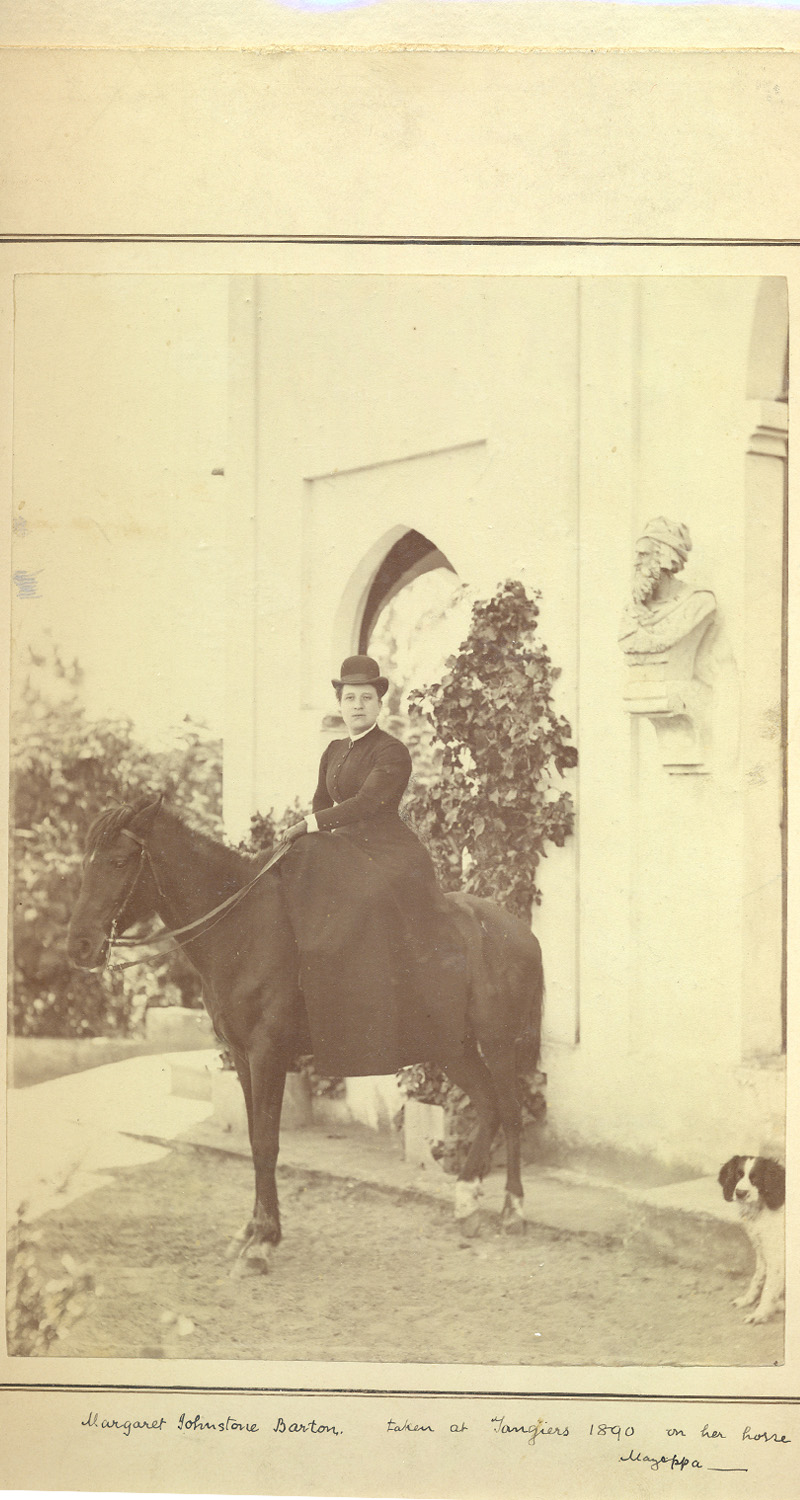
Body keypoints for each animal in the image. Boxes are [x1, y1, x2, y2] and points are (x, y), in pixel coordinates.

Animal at [67, 792, 543, 1272]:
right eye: (86, 862)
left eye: (119, 860)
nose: (80, 946)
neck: (243, 930)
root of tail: (520, 930)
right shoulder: (241, 1055)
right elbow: (255, 1139)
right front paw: (253, 1230)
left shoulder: (268, 1053)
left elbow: (265, 1142)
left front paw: (263, 1240)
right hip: (452, 1047)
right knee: (488, 1106)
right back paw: (467, 1202)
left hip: (497, 1043)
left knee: (510, 1112)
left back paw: (513, 1210)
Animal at [717, 1158, 786, 1326]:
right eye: (738, 1174)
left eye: (756, 1177)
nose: (740, 1193)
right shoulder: (761, 1252)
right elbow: (757, 1278)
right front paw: (747, 1300)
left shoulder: (777, 1258)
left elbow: (769, 1288)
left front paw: (760, 1314)